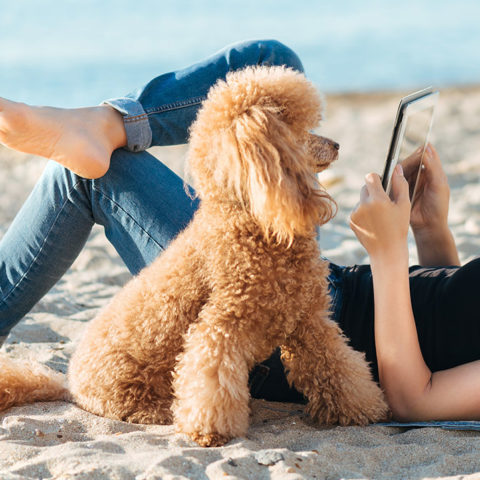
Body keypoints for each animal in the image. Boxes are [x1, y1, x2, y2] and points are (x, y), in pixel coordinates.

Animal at [0, 66, 388, 446]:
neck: (248, 220)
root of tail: (70, 387)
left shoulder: (309, 321)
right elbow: (212, 379)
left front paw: (363, 409)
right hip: (125, 389)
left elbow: (339, 366)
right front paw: (211, 431)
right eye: (297, 127)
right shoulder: (221, 326)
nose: (336, 145)